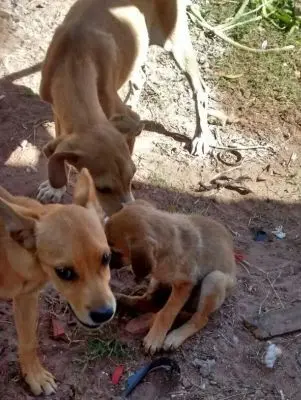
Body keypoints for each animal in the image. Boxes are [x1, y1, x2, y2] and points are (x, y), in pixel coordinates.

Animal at [0, 167, 115, 396]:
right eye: (64, 272)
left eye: (106, 258)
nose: (105, 314)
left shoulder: (26, 297)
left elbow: (29, 341)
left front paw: (34, 375)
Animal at [37, 0, 213, 211]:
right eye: (102, 188)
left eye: (133, 175)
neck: (74, 59)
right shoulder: (58, 111)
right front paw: (56, 188)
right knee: (140, 77)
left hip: (177, 43)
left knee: (200, 88)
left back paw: (201, 136)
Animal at [104, 200, 236, 354]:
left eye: (116, 252)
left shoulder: (184, 285)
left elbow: (167, 312)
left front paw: (155, 338)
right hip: (158, 282)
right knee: (147, 300)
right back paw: (123, 300)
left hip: (215, 279)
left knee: (201, 318)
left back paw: (175, 336)